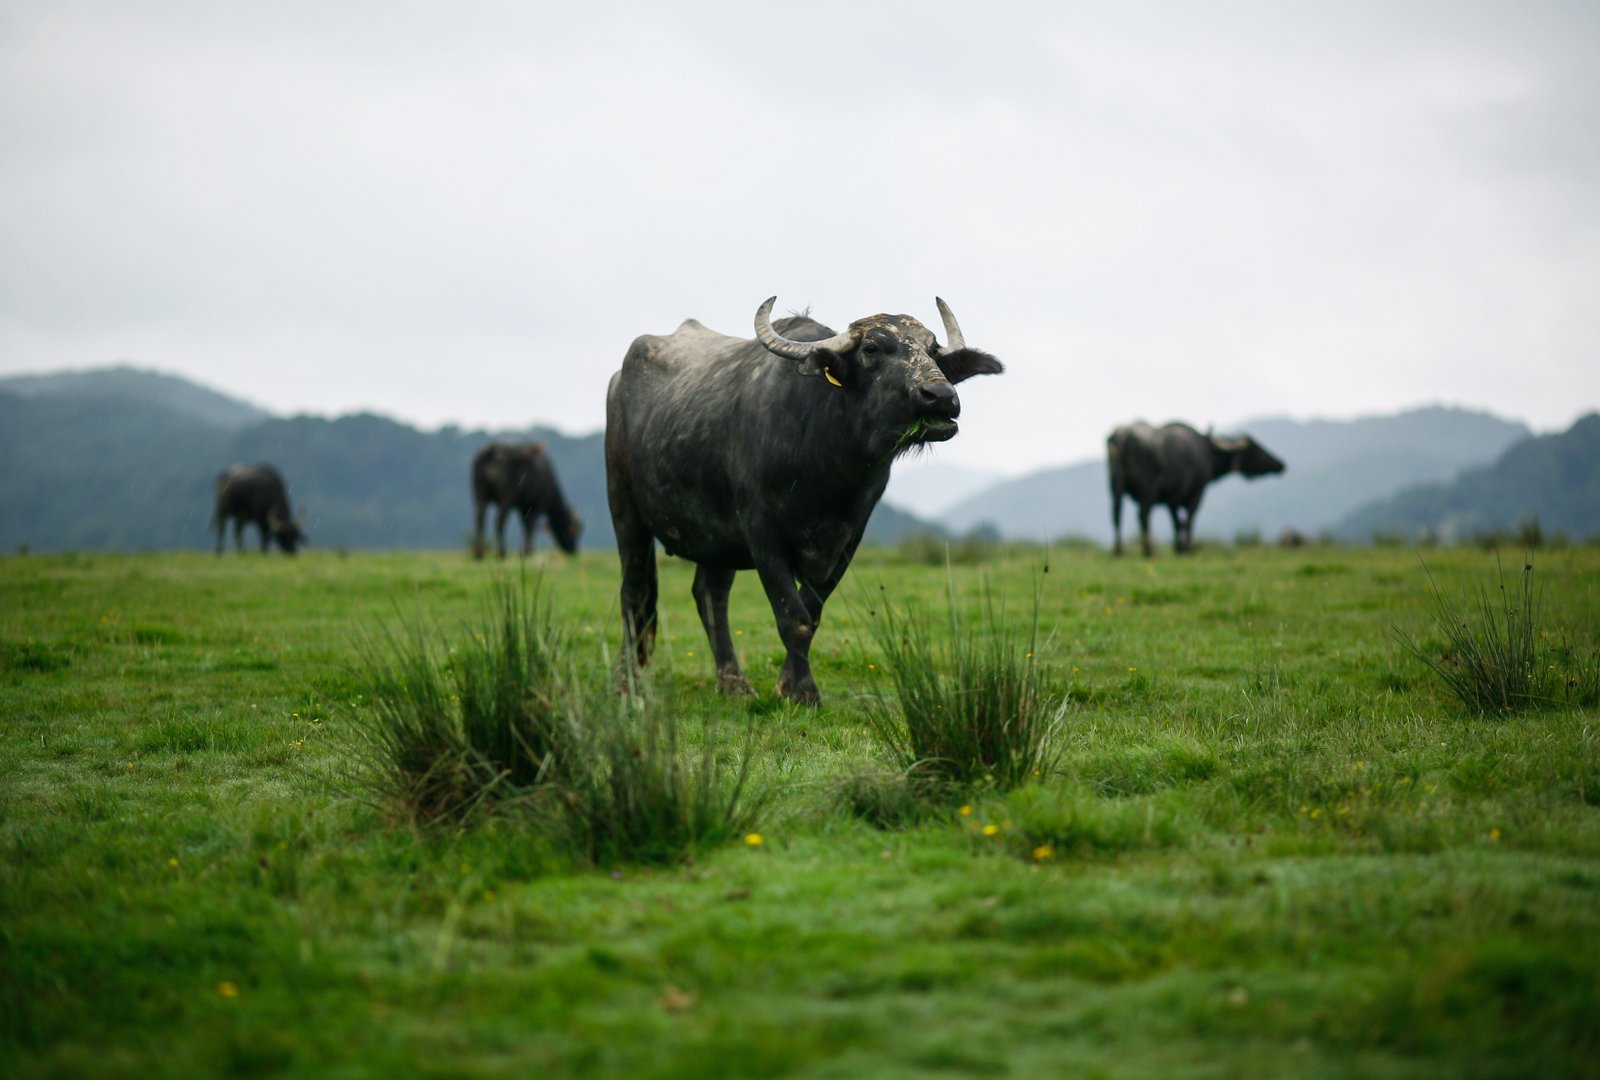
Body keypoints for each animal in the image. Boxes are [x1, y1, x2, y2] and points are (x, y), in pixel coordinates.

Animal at [606, 296, 1003, 704]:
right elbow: (792, 617)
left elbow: (810, 614)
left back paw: (733, 683)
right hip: (626, 512)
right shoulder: (762, 535)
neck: (825, 468)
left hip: (716, 540)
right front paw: (803, 692)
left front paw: (790, 685)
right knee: (634, 595)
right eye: (872, 349)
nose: (941, 396)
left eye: (933, 350)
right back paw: (626, 683)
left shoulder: (847, 539)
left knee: (709, 594)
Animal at [1108, 422, 1285, 556]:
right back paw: (1149, 550)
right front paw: (1188, 548)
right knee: (1143, 515)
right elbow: (1189, 521)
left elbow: (1177, 523)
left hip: (1116, 487)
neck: (1209, 452)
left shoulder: (1173, 500)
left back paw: (1119, 551)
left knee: (1116, 515)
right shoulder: (1197, 493)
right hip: (1148, 490)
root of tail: (1123, 436)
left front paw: (1179, 548)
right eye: (1255, 448)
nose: (1281, 464)